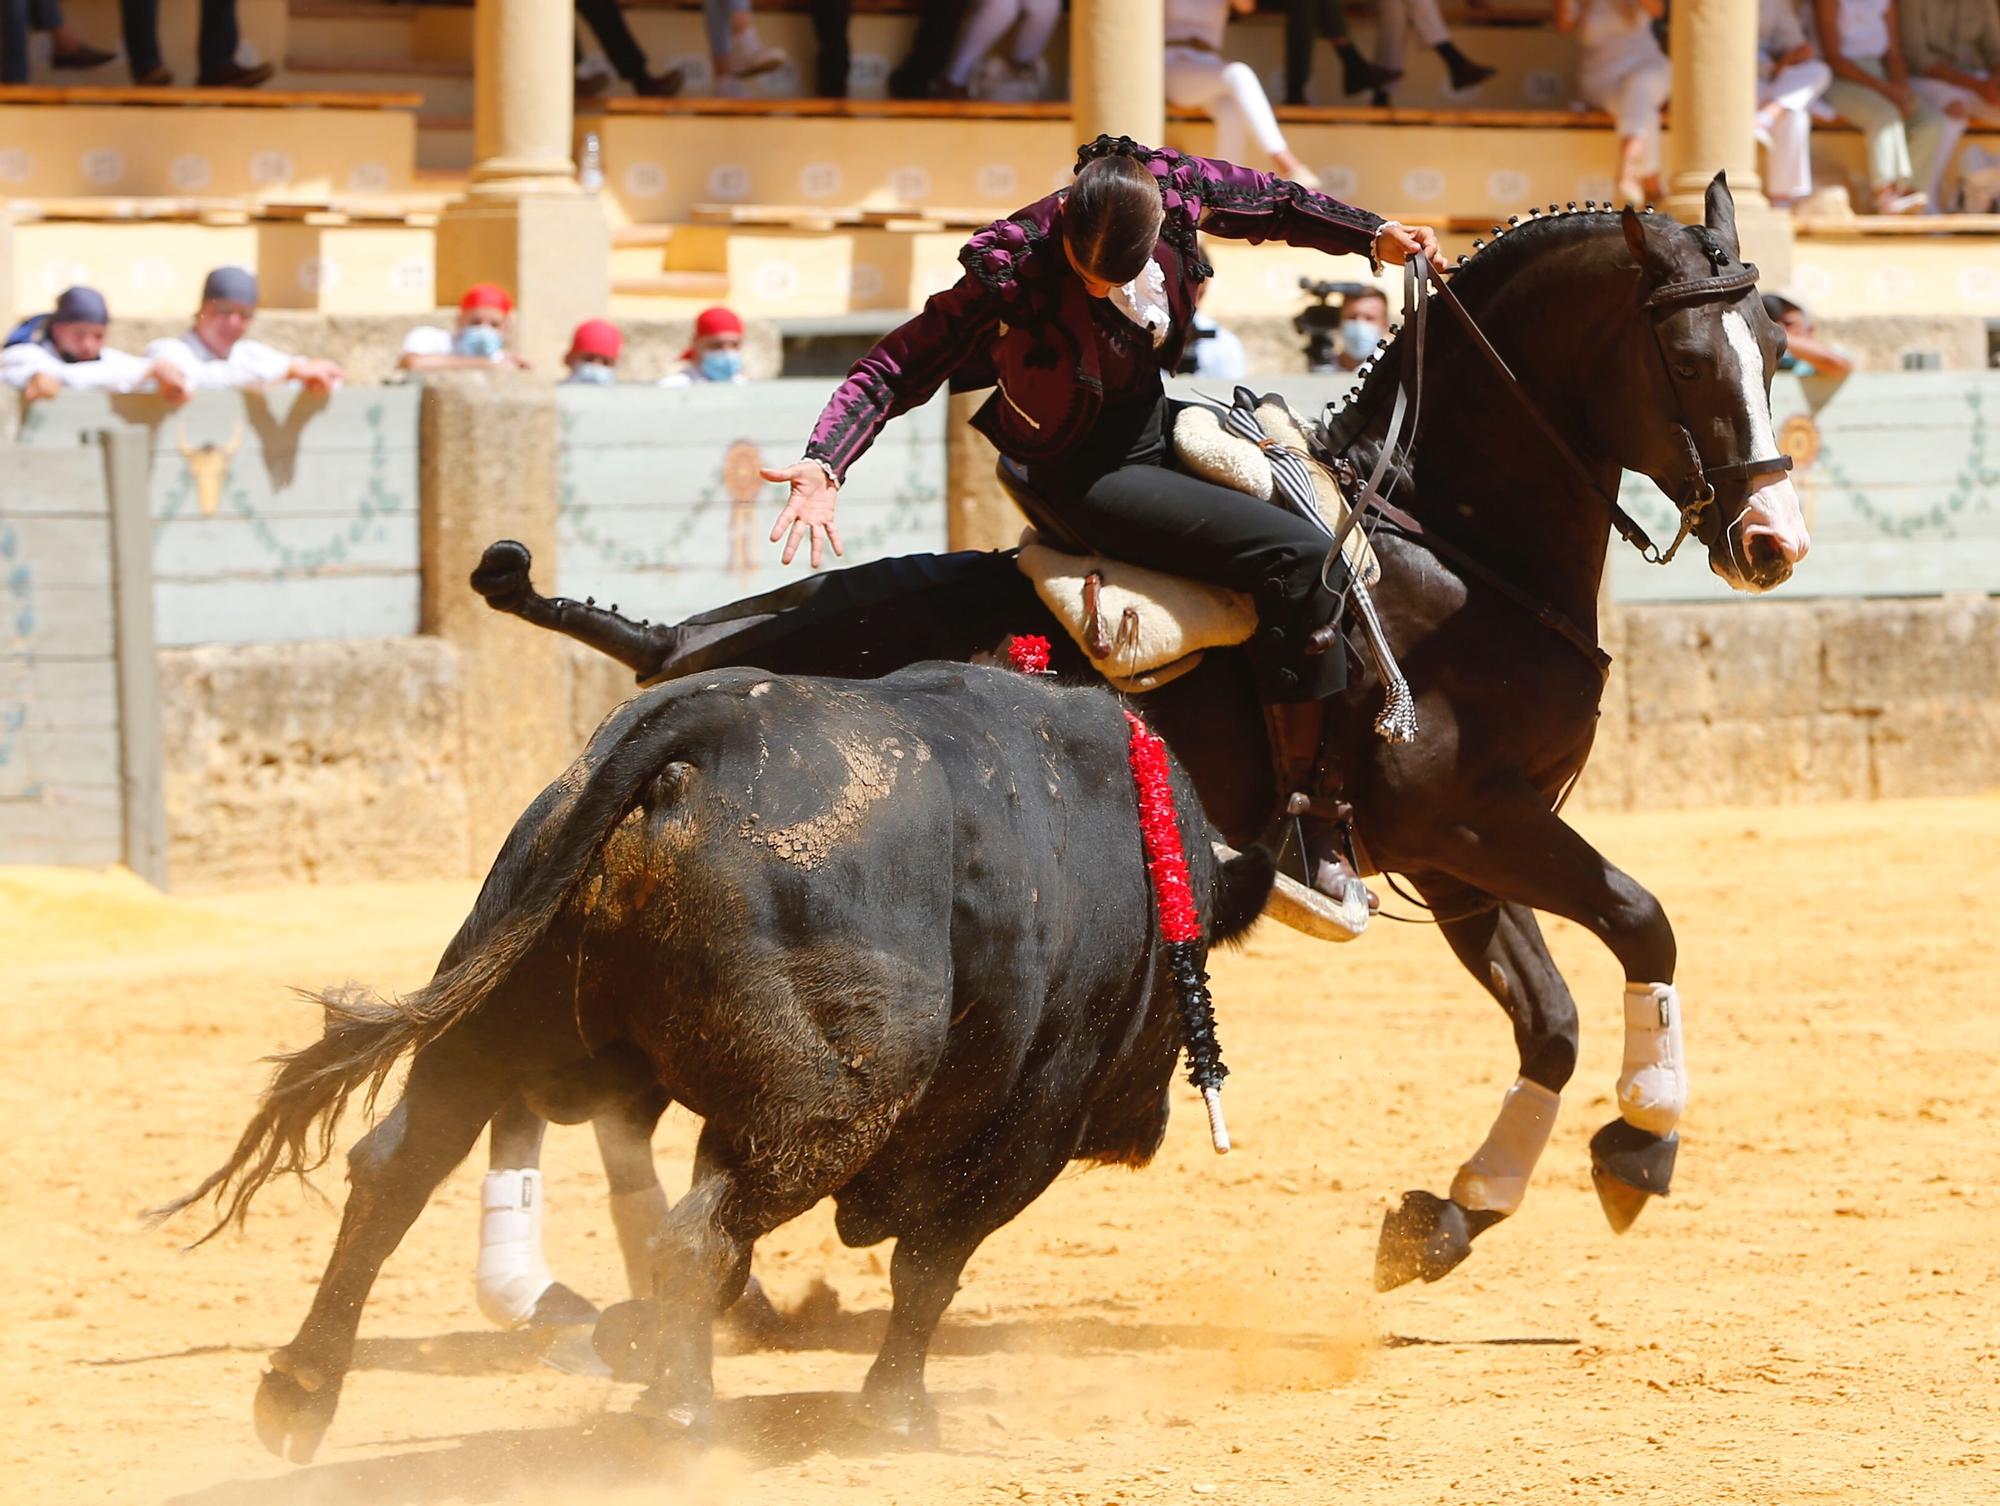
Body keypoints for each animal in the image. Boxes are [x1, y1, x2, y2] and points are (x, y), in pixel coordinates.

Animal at [164, 660, 1272, 1456]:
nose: (1144, 1127)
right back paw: (683, 1419)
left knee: (399, 1170)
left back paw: (302, 1389)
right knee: (696, 1236)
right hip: (827, 1115)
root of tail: (702, 742)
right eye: (1200, 958)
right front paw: (895, 1414)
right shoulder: (1021, 1132)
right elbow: (928, 1268)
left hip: (493, 1024)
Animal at [472, 179, 1816, 1296]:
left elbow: (1548, 1018)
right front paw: (1640, 1143)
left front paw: (1449, 1212)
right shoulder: (1476, 822)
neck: (1448, 548)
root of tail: (677, 645)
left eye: (1778, 347)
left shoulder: (1453, 857)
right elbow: (1642, 919)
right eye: (1684, 357)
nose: (1771, 544)